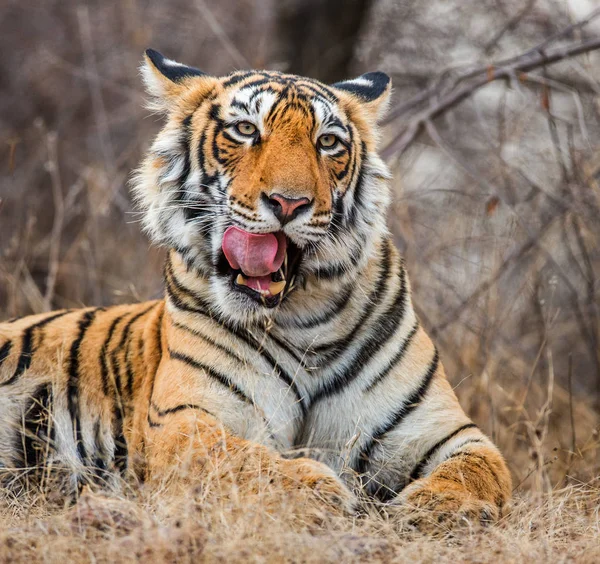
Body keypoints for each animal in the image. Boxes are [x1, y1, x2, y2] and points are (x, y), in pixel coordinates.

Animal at [0, 48, 510, 524]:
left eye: (328, 142)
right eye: (246, 130)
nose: (288, 203)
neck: (306, 318)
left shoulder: (442, 430)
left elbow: (481, 469)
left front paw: (437, 507)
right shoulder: (186, 418)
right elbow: (239, 460)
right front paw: (319, 492)